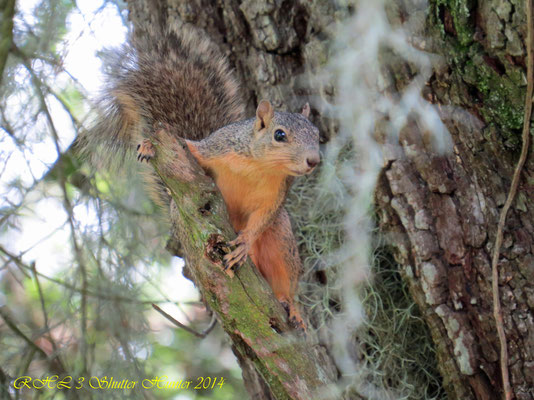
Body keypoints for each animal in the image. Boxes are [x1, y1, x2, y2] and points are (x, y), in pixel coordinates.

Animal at [85, 25, 320, 332]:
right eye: (279, 135)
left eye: (318, 135)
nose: (314, 161)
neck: (260, 166)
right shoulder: (216, 148)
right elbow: (191, 146)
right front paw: (149, 144)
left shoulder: (278, 194)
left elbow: (263, 216)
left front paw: (244, 243)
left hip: (281, 237)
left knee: (286, 280)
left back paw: (293, 307)